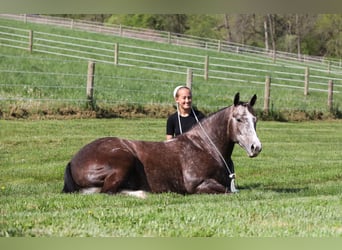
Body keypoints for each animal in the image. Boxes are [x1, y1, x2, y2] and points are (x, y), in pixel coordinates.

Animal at [62, 93, 262, 198]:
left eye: (255, 119)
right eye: (239, 119)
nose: (256, 147)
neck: (205, 147)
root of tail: (73, 161)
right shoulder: (198, 185)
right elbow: (229, 191)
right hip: (123, 161)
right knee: (108, 192)